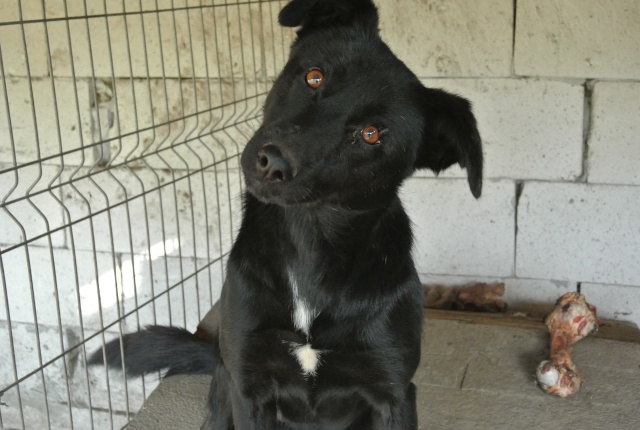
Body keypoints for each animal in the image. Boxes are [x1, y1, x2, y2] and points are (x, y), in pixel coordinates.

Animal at [89, 1, 480, 428]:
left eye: (372, 134)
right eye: (313, 76)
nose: (272, 162)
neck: (309, 242)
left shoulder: (394, 393)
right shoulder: (248, 385)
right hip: (223, 381)